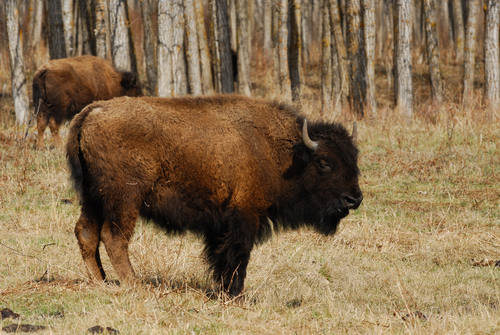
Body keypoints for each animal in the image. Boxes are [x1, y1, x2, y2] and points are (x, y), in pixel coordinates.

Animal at [66, 94, 364, 296]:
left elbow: (219, 256)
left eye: (354, 159)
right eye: (324, 162)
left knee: (86, 232)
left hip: (92, 197)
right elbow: (238, 254)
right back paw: (134, 283)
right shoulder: (245, 215)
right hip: (124, 198)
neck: (282, 151)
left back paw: (101, 281)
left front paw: (223, 290)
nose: (354, 199)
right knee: (114, 237)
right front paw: (235, 294)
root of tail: (91, 111)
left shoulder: (220, 223)